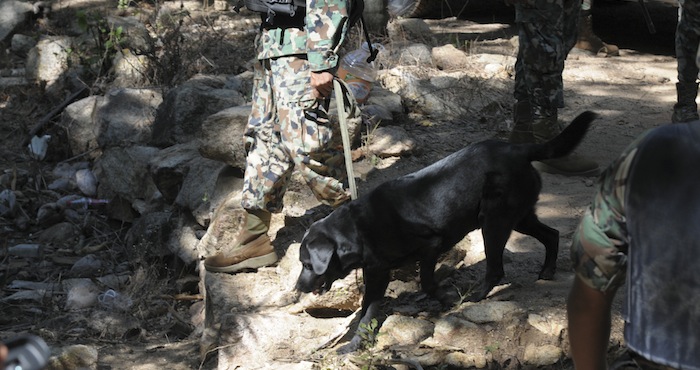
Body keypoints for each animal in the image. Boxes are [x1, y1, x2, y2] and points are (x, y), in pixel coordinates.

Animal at [294, 110, 596, 352]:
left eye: (307, 264)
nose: (298, 288)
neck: (359, 229)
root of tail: (519, 149)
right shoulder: (378, 274)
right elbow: (366, 314)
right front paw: (355, 345)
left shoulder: (431, 245)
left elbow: (427, 282)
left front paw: (446, 298)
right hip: (519, 217)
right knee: (552, 235)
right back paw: (547, 271)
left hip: (494, 222)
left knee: (496, 268)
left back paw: (475, 297)